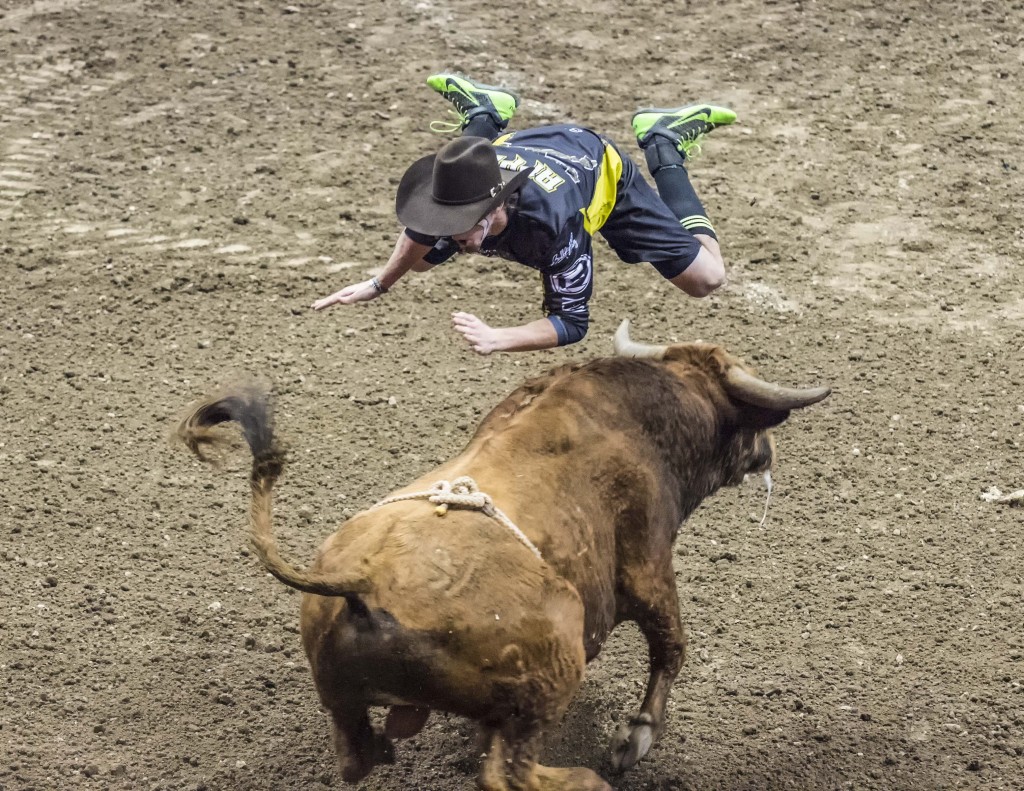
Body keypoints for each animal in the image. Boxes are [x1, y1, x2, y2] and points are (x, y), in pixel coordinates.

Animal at [178, 321, 831, 790]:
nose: (768, 452)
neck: (648, 420)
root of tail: (361, 582)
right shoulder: (647, 561)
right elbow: (670, 644)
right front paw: (633, 741)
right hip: (555, 663)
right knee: (506, 773)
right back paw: (584, 780)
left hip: (345, 702)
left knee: (357, 758)